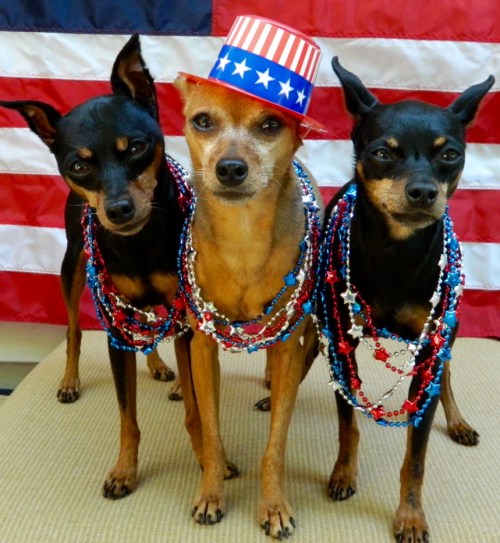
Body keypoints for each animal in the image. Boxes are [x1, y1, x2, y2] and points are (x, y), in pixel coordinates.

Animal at [0, 34, 194, 499]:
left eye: (137, 147)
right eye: (78, 166)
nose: (118, 210)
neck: (140, 242)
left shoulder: (182, 310)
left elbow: (198, 409)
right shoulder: (114, 329)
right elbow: (127, 417)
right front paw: (124, 470)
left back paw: (166, 370)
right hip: (72, 270)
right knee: (73, 330)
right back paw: (71, 382)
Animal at [317, 57, 494, 542]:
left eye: (450, 154)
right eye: (383, 153)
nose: (422, 191)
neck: (396, 252)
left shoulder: (432, 346)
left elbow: (416, 457)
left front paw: (411, 517)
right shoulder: (342, 346)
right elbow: (347, 426)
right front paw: (343, 474)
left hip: (447, 327)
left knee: (446, 376)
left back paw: (459, 423)